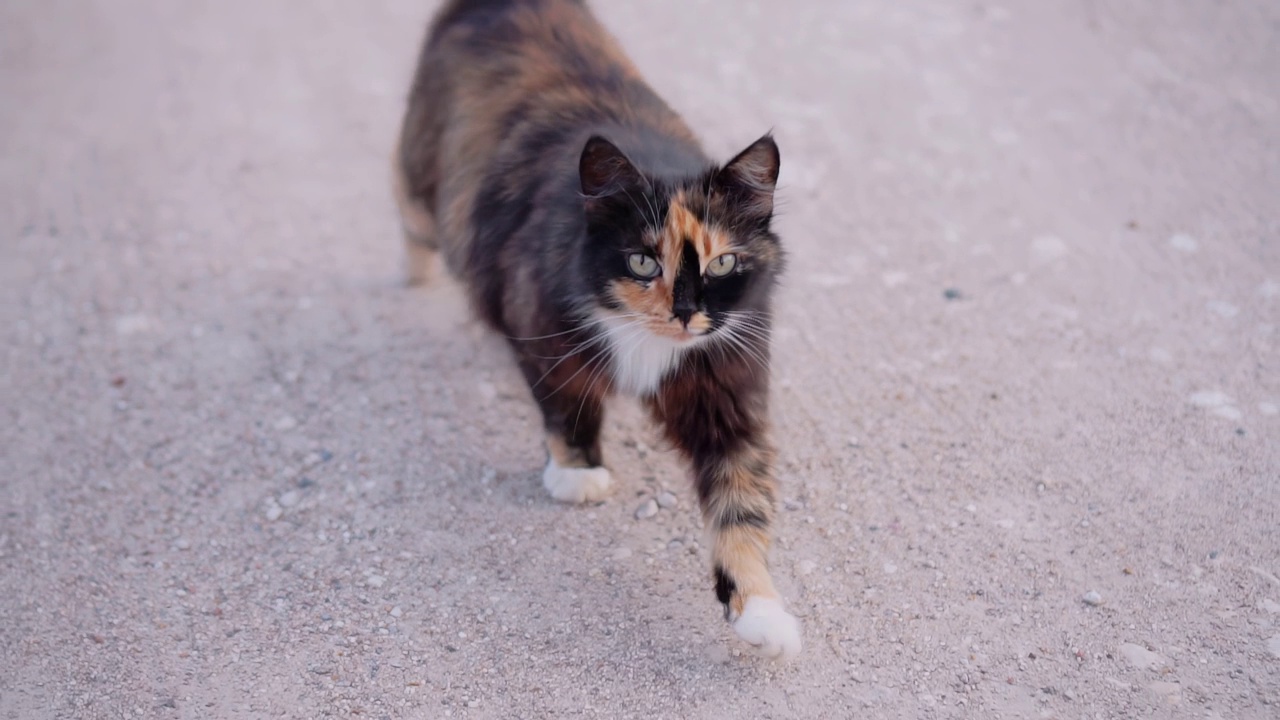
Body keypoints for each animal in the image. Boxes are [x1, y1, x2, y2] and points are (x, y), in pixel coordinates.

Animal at [394, 0, 803, 661]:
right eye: (642, 262)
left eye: (721, 264)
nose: (685, 312)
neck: (651, 347)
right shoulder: (543, 332)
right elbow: (568, 406)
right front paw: (579, 474)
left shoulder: (728, 396)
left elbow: (742, 508)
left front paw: (761, 612)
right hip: (422, 191)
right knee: (409, 217)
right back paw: (414, 279)